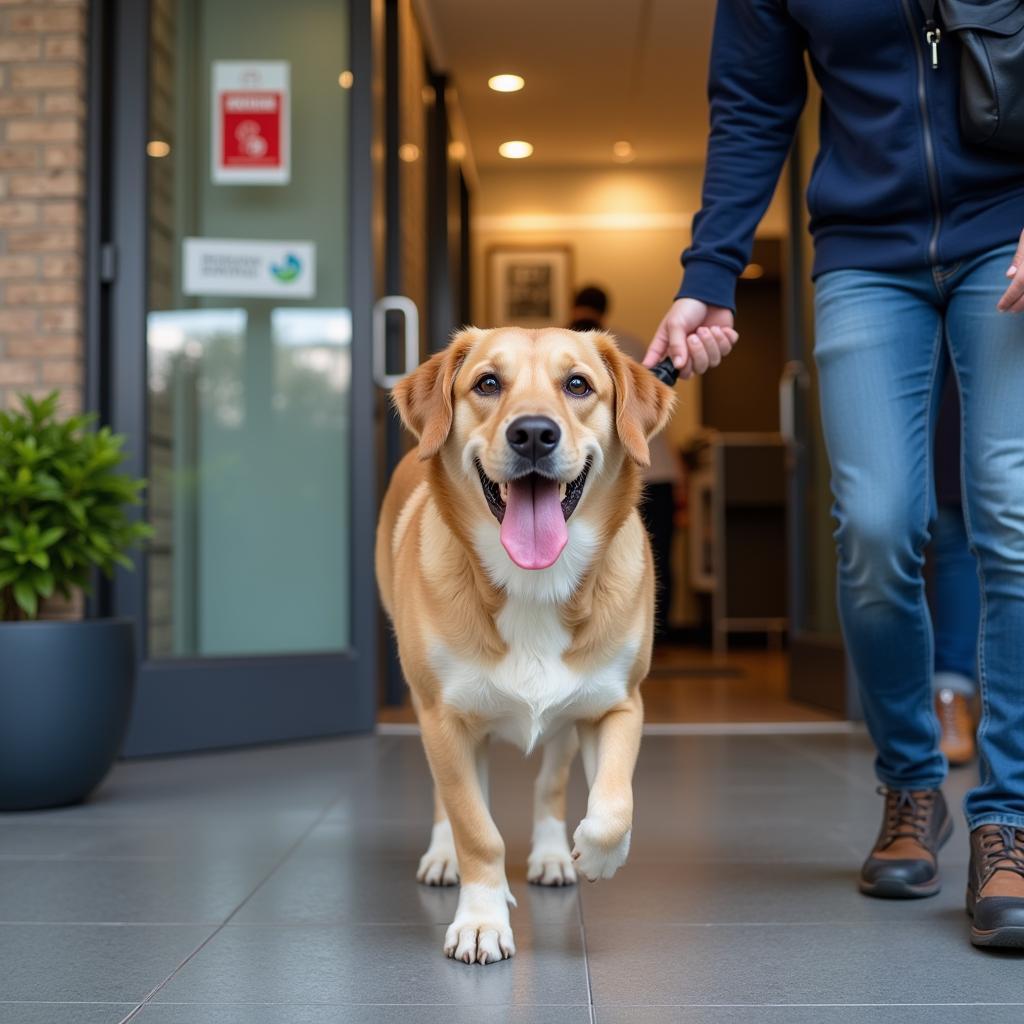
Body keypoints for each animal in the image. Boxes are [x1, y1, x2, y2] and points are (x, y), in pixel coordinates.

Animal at [374, 329, 671, 966]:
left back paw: (554, 854)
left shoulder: (618, 703)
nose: (533, 432)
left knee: (551, 784)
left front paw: (597, 854)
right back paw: (443, 856)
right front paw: (481, 919)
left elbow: (613, 805)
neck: (535, 581)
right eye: (488, 382)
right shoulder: (443, 717)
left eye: (578, 384)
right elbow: (475, 828)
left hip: (565, 724)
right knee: (451, 799)